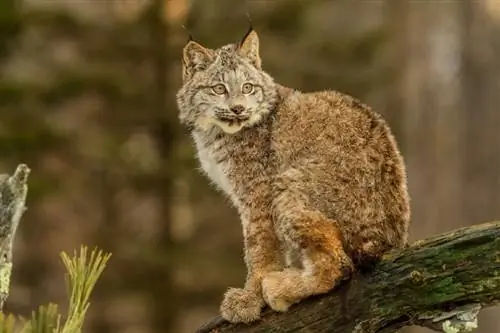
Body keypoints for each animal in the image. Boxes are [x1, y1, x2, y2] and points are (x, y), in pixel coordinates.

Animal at [176, 27, 410, 322]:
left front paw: (250, 298)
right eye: (219, 89)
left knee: (340, 265)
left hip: (288, 185)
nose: (238, 109)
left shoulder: (257, 190)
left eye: (247, 87)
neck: (215, 131)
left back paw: (279, 288)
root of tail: (392, 240)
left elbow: (259, 247)